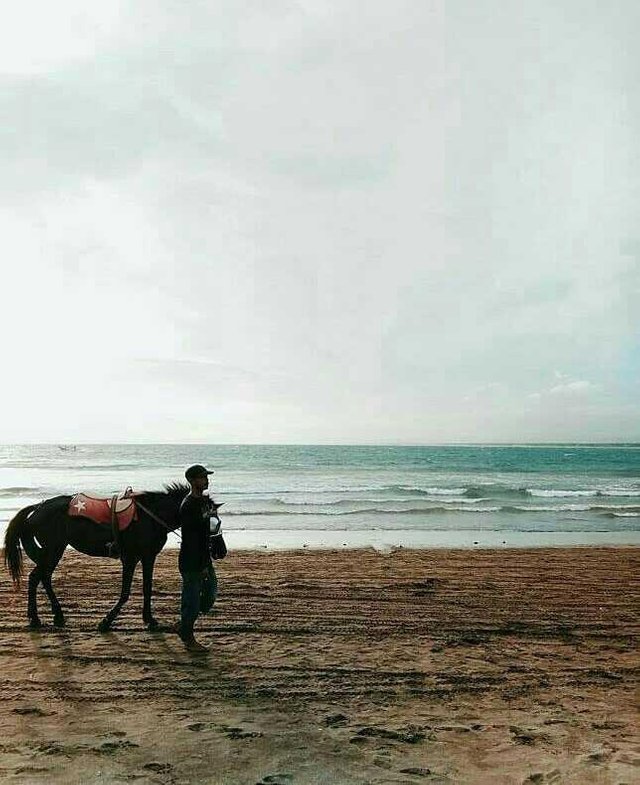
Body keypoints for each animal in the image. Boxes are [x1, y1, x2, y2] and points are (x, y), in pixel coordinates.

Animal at [2, 480, 191, 632]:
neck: (151, 515)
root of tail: (38, 507)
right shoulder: (130, 558)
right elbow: (125, 593)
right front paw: (106, 621)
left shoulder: (148, 557)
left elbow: (147, 588)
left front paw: (149, 619)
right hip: (53, 550)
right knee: (37, 577)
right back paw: (37, 618)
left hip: (51, 552)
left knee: (43, 577)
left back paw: (56, 616)